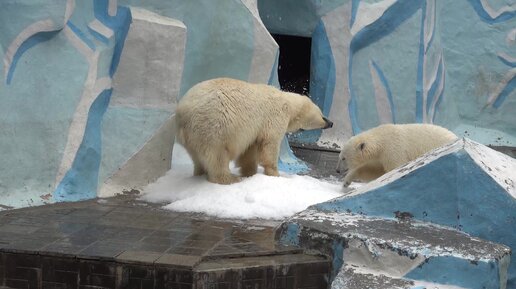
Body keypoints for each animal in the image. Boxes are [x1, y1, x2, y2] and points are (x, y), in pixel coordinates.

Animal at [175, 77, 332, 183]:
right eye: (322, 116)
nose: (330, 123)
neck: (288, 102)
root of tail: (183, 111)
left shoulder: (254, 129)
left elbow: (250, 150)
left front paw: (249, 172)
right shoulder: (274, 116)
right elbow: (270, 144)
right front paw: (275, 174)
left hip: (193, 136)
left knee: (197, 157)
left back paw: (200, 173)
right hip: (214, 125)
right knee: (217, 155)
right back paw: (229, 178)